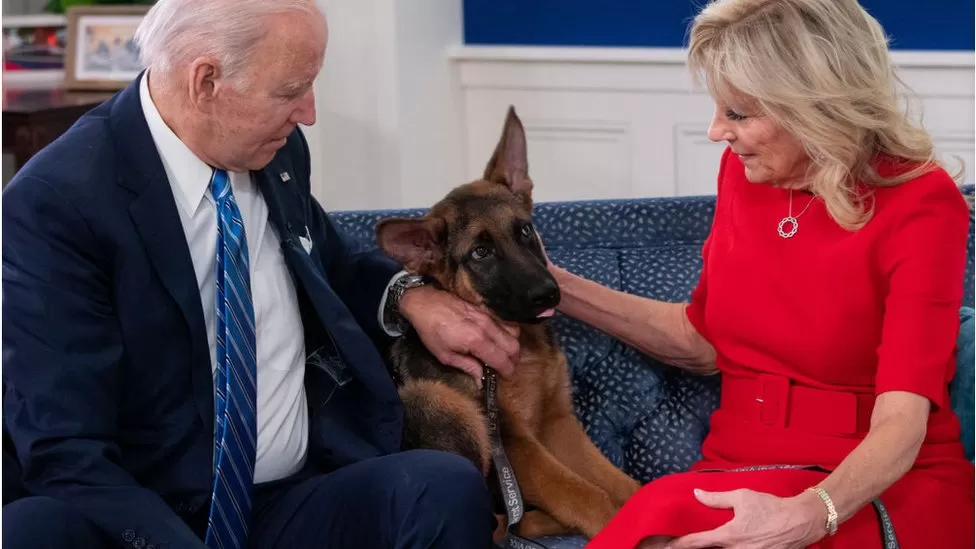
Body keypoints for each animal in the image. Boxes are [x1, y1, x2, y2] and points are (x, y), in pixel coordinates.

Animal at [374, 105, 640, 536]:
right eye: (480, 253)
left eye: (525, 230)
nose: (547, 294)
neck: (523, 344)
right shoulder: (516, 442)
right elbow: (587, 495)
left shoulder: (556, 422)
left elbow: (619, 483)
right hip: (437, 402)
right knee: (498, 524)